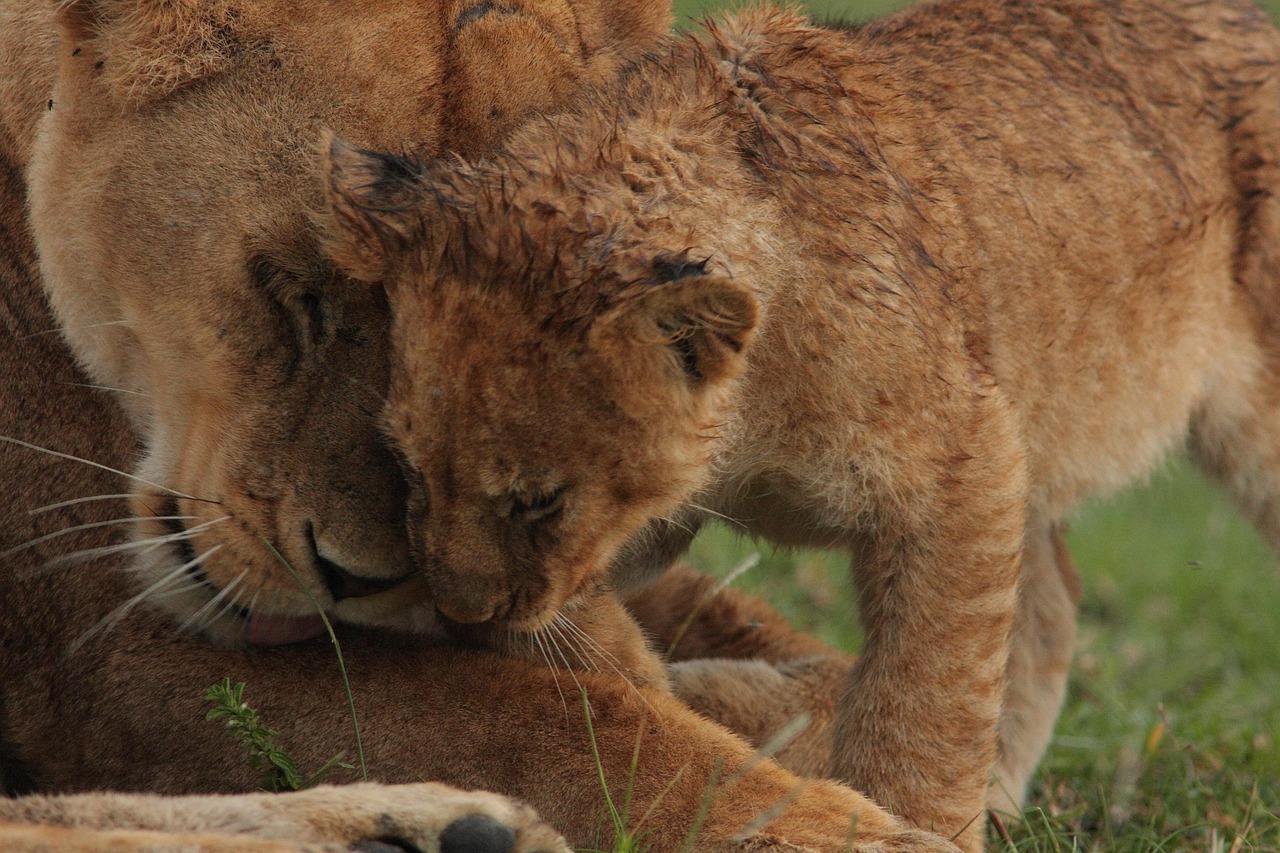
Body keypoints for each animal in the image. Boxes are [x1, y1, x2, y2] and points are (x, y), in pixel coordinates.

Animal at [0, 1, 958, 851]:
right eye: (295, 289)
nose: (359, 579)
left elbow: (793, 657)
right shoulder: (108, 656)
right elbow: (566, 722)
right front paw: (845, 829)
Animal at [320, 0, 1280, 847]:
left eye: (539, 501)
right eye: (407, 468)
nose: (459, 612)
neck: (748, 418)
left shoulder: (959, 467)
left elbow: (926, 696)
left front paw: (910, 821)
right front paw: (656, 694)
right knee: (1049, 602)